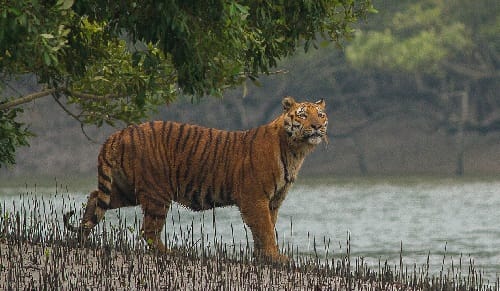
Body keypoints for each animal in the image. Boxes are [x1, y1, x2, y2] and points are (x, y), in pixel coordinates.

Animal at [63, 97, 328, 264]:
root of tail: (119, 133)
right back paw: (170, 253)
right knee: (148, 230)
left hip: (126, 189)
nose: (317, 126)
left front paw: (263, 257)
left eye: (320, 115)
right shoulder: (255, 198)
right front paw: (275, 257)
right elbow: (264, 229)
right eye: (303, 115)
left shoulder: (273, 201)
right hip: (157, 192)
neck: (296, 150)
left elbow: (266, 228)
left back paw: (82, 237)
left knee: (95, 197)